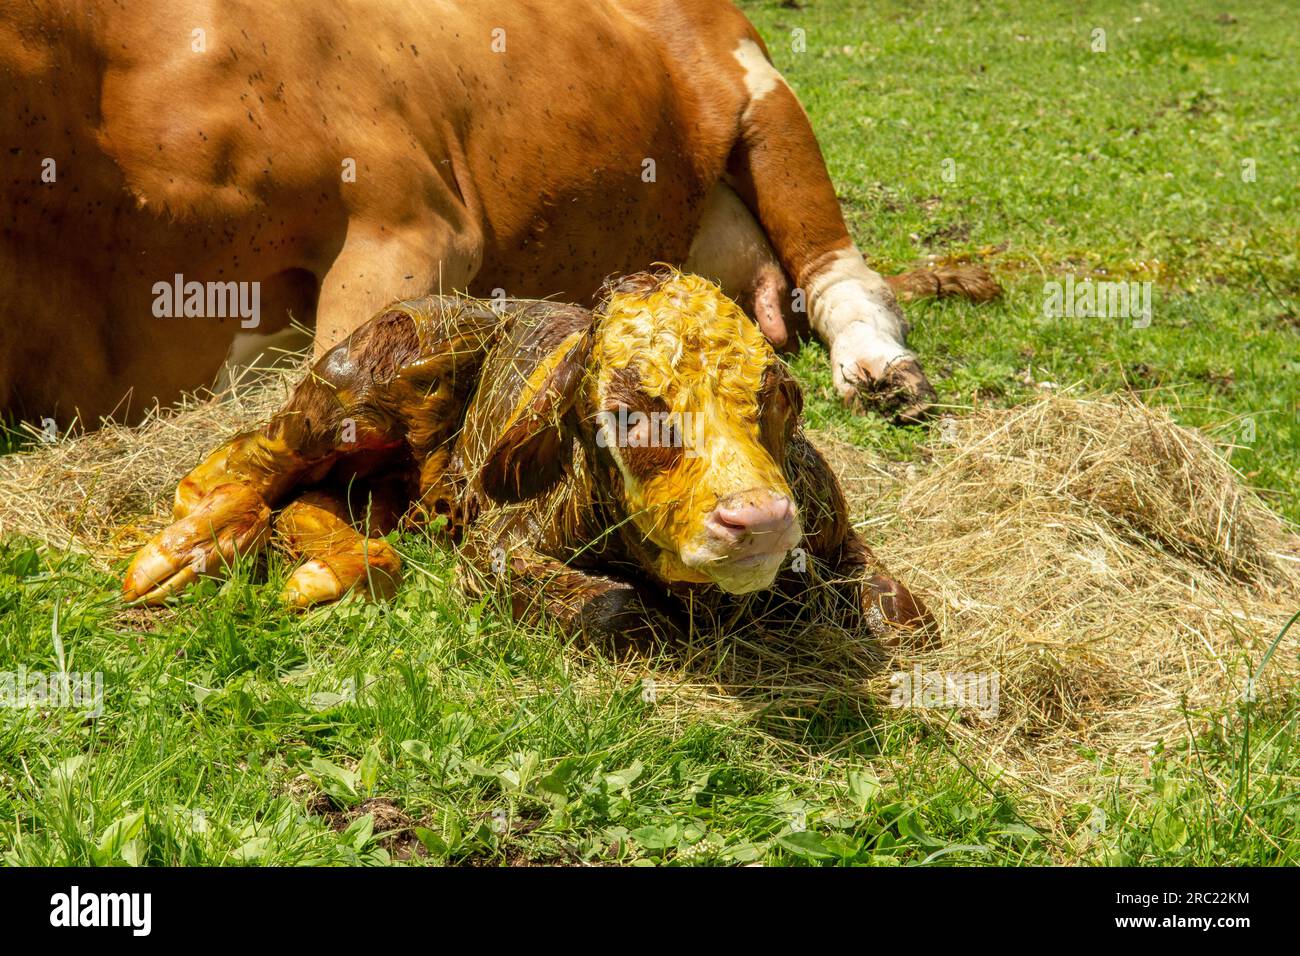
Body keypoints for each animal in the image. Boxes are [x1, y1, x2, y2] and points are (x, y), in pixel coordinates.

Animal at [124, 273, 935, 650]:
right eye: (630, 413)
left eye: (776, 401)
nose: (760, 520)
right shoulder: (497, 545)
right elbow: (615, 610)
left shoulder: (829, 525)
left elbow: (908, 616)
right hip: (360, 385)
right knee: (240, 464)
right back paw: (187, 551)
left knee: (315, 505)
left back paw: (334, 567)